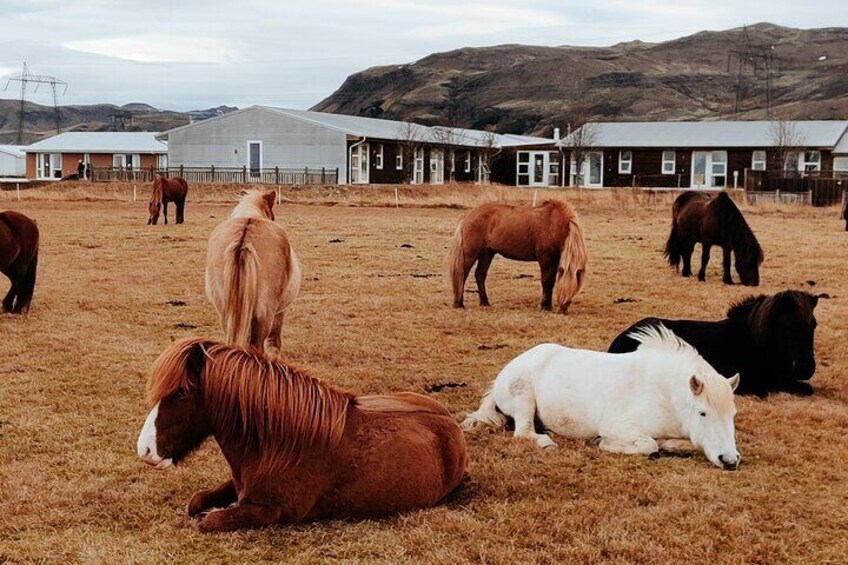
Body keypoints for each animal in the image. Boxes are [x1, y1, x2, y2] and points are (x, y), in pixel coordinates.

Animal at [136, 338, 468, 532]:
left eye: (181, 392)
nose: (145, 450)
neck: (277, 445)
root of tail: (451, 423)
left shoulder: (272, 511)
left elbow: (210, 520)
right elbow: (197, 501)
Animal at [448, 198, 588, 312]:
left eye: (575, 287)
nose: (564, 309)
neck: (555, 223)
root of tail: (468, 215)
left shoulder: (555, 258)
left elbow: (552, 281)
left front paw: (548, 305)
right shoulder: (545, 258)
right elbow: (546, 281)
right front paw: (544, 306)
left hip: (487, 253)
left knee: (480, 275)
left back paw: (485, 302)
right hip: (471, 253)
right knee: (462, 274)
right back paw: (459, 303)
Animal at [458, 324, 744, 470]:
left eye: (731, 415)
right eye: (703, 412)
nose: (729, 461)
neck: (665, 392)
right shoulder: (619, 426)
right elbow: (648, 445)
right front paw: (605, 444)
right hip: (524, 399)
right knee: (523, 433)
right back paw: (546, 441)